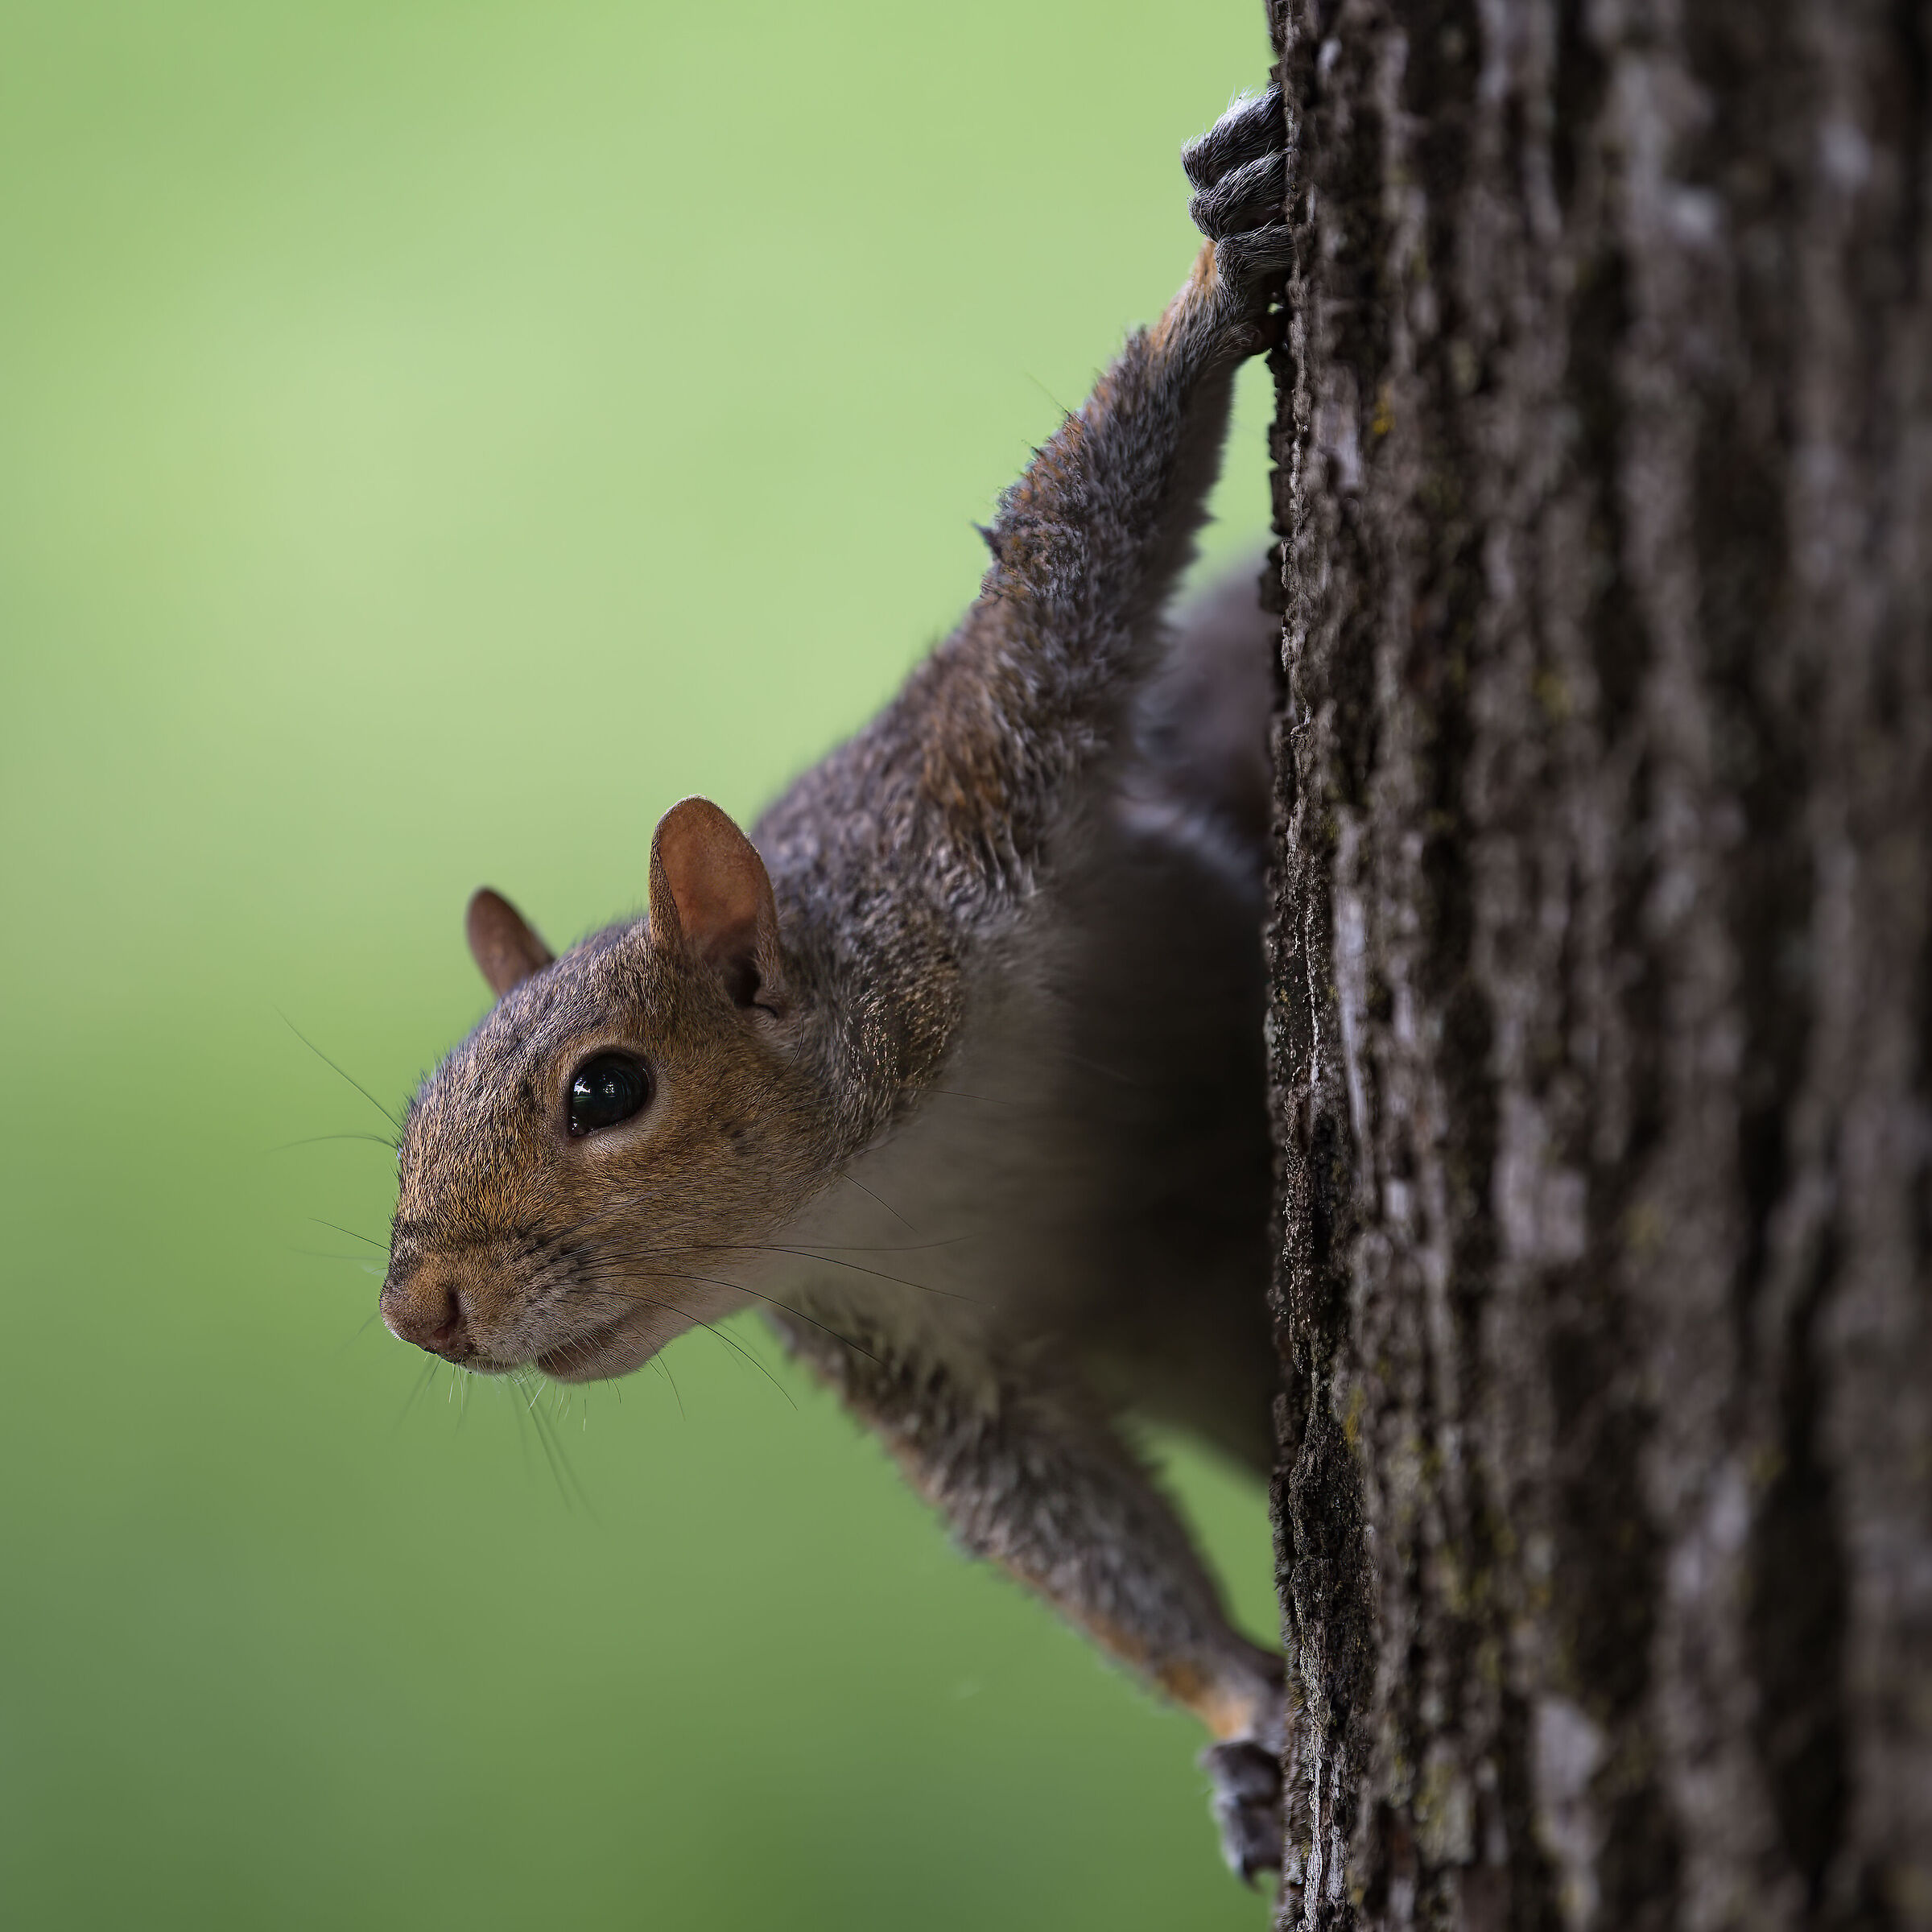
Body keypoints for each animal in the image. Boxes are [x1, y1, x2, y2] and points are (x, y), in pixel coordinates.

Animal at [379, 85, 1300, 1885]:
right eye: (411, 1121)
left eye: (607, 1089)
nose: (418, 1311)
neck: (895, 1161)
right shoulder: (915, 1348)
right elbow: (1054, 1526)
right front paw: (1251, 1712)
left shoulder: (968, 793)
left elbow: (1073, 551)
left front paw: (1213, 275)